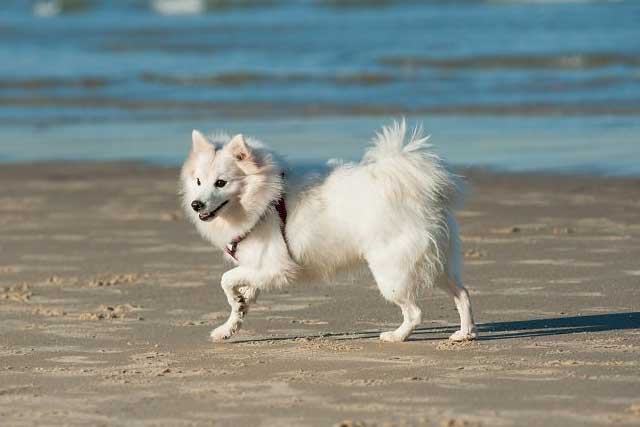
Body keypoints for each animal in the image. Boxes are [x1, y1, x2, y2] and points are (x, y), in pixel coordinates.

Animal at [180, 120, 476, 344]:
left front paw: (235, 301)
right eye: (198, 181)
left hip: (391, 272)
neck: (264, 199)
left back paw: (396, 336)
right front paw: (229, 324)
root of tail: (416, 190)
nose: (196, 205)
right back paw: (464, 334)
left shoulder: (276, 267)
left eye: (221, 183)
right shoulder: (259, 268)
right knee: (462, 294)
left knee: (414, 312)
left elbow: (226, 279)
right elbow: (241, 297)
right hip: (436, 263)